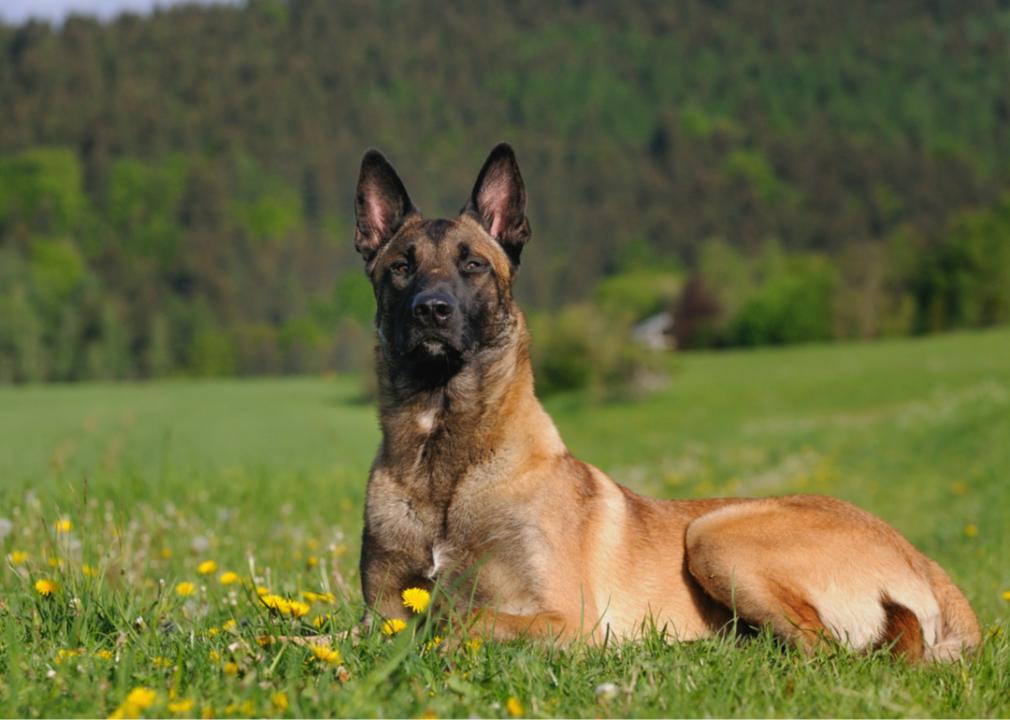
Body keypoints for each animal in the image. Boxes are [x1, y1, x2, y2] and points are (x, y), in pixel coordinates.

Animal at [353, 143, 977, 658]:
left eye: (473, 264)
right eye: (401, 267)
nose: (431, 311)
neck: (446, 460)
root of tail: (922, 559)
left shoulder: (567, 621)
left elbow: (458, 619)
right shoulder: (377, 611)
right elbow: (365, 628)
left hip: (714, 535)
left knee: (821, 648)